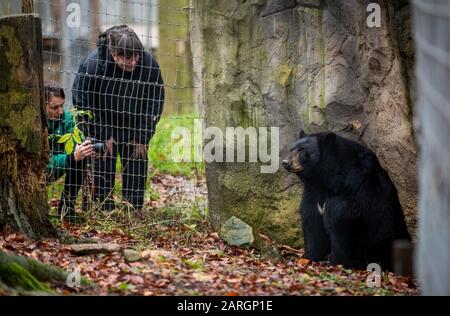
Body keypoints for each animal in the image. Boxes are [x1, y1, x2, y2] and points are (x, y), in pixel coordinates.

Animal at [284, 130, 410, 270]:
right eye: (292, 149)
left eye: (302, 150)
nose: (285, 162)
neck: (327, 180)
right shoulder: (313, 193)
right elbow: (312, 221)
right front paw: (309, 257)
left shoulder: (352, 189)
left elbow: (341, 220)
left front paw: (338, 263)